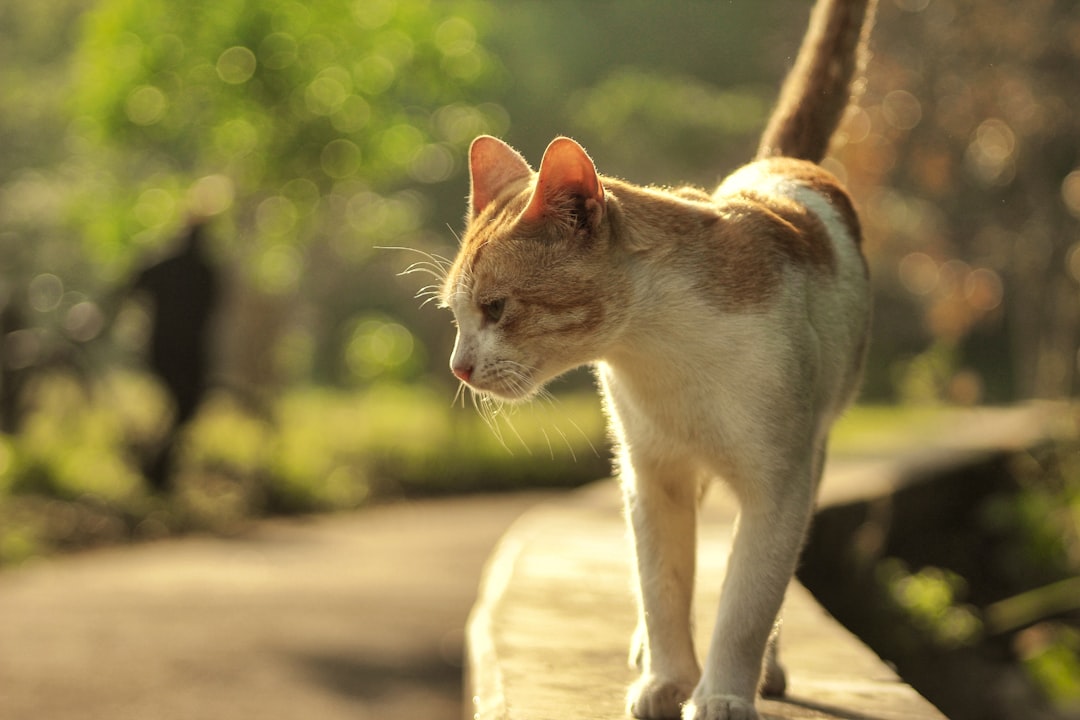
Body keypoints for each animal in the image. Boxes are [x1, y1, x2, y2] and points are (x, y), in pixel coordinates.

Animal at [438, 1, 876, 720]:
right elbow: (662, 585)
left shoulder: (779, 484)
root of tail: (779, 163)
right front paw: (667, 680)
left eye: (496, 309)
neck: (664, 354)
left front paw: (723, 692)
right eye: (455, 315)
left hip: (810, 458)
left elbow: (747, 602)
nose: (459, 367)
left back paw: (768, 669)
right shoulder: (649, 474)